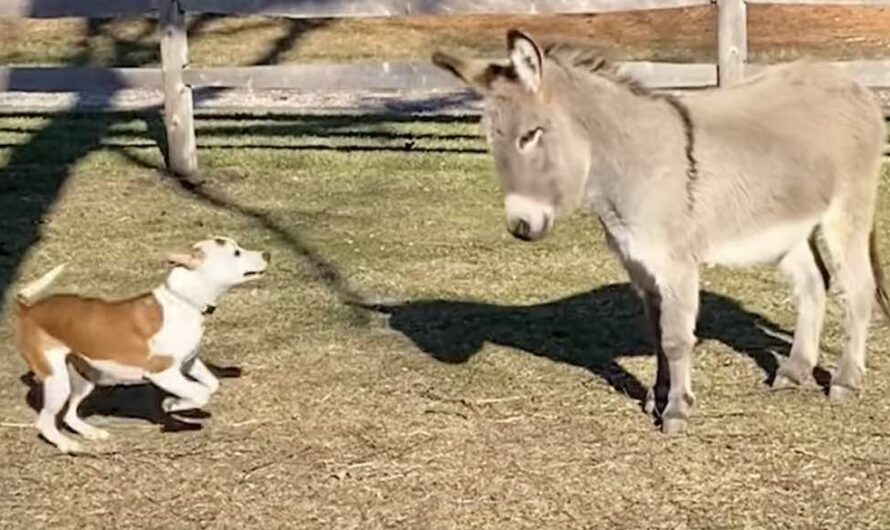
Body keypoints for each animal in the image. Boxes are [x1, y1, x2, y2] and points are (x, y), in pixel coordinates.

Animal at [13, 235, 268, 450]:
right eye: (236, 253)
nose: (267, 254)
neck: (183, 301)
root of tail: (28, 310)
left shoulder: (189, 363)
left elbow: (212, 385)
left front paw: (181, 404)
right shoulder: (163, 373)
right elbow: (201, 392)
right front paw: (172, 405)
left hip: (86, 376)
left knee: (69, 415)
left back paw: (91, 432)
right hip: (57, 380)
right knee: (45, 421)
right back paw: (68, 445)